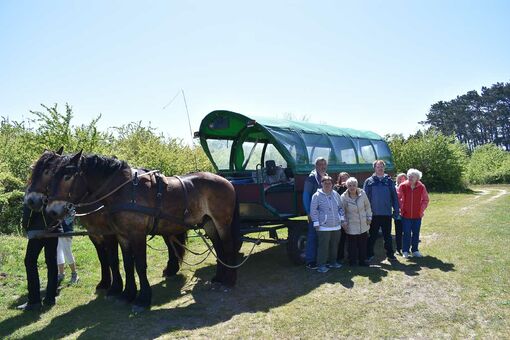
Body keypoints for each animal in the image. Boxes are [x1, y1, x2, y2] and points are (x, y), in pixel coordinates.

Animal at [45, 151, 239, 310]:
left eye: (67, 176)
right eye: (52, 176)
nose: (51, 211)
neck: (123, 191)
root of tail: (225, 181)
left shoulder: (137, 235)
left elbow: (139, 265)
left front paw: (143, 299)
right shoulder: (122, 236)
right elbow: (127, 264)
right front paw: (127, 294)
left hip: (222, 222)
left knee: (228, 247)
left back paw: (229, 280)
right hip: (208, 224)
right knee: (219, 248)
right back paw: (219, 277)